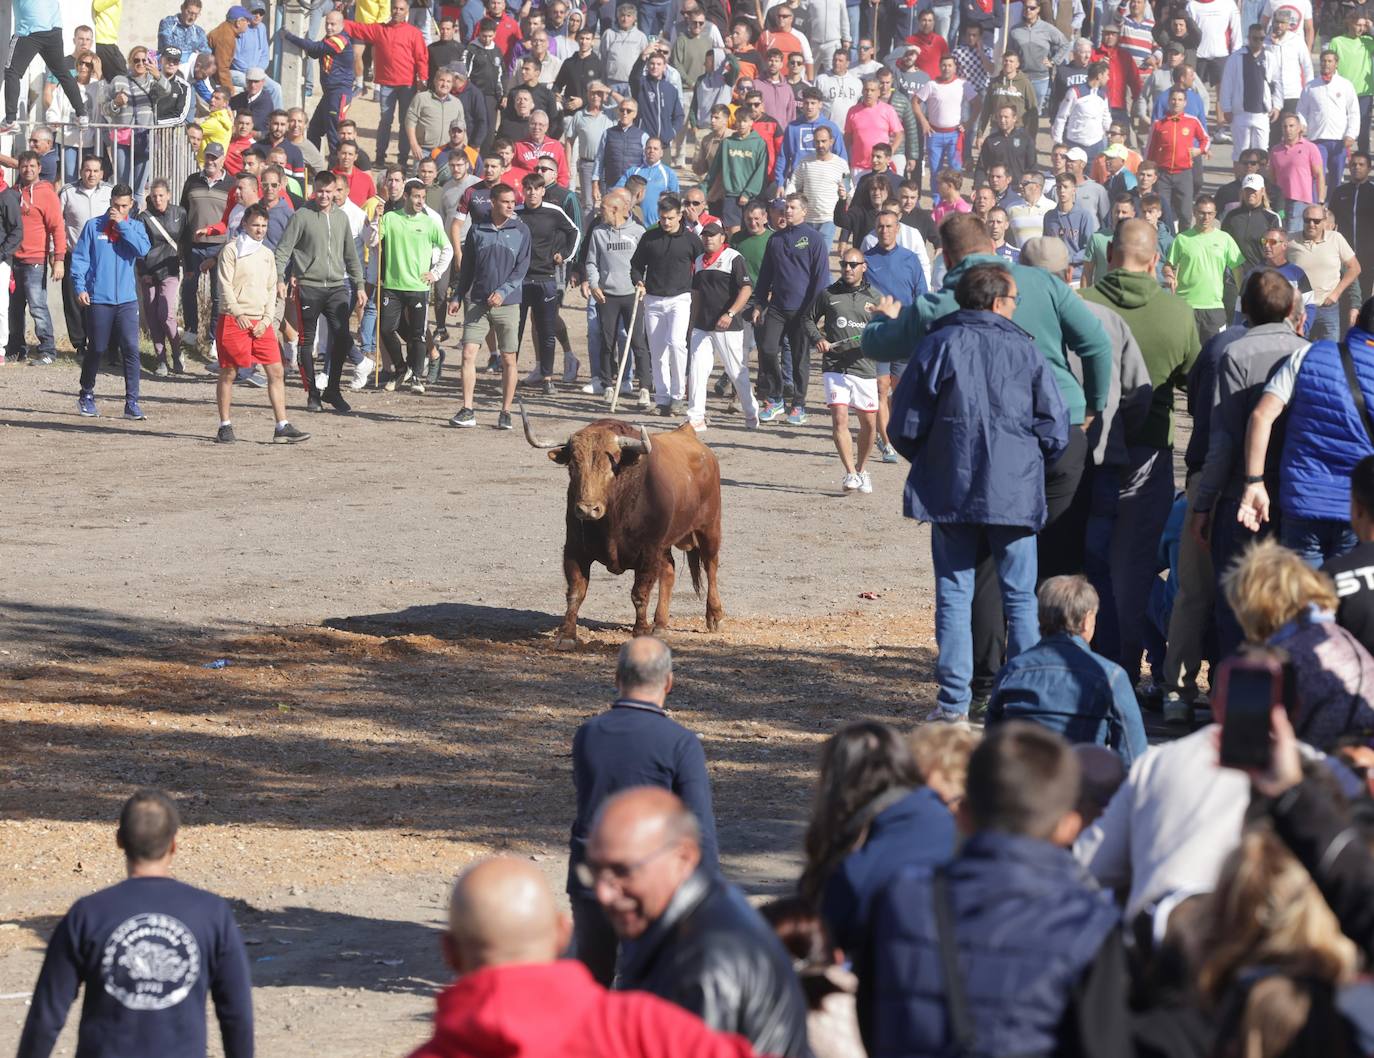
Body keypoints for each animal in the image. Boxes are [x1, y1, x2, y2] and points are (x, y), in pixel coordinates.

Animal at [519, 401, 725, 634]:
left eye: (612, 465)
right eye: (572, 466)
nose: (588, 510)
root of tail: (691, 437)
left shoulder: (648, 551)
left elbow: (639, 593)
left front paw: (641, 630)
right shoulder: (574, 548)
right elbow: (575, 592)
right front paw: (567, 634)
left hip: (709, 529)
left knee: (710, 566)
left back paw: (714, 615)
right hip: (666, 545)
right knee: (669, 571)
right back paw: (660, 623)